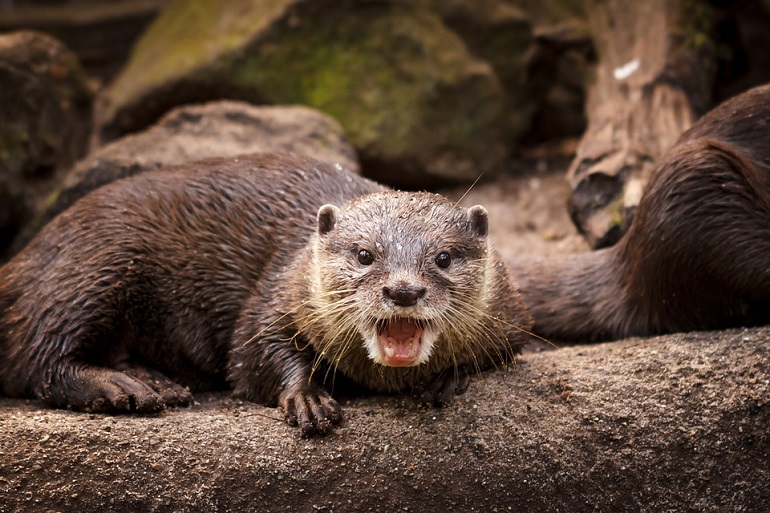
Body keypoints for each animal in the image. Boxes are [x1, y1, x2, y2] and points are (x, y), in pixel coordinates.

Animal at [0, 153, 528, 436]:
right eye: (364, 254)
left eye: (443, 257)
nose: (403, 290)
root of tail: (25, 255)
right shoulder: (277, 293)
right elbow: (253, 355)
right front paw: (307, 399)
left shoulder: (510, 317)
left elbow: (502, 350)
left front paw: (448, 377)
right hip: (92, 267)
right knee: (39, 354)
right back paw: (124, 388)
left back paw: (154, 382)